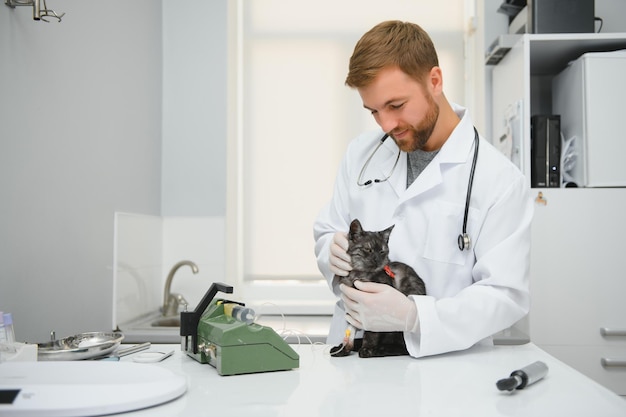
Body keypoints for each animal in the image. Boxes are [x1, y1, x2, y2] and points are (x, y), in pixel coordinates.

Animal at [326, 218, 424, 358]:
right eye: (368, 249)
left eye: (382, 251)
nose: (377, 259)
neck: (359, 275)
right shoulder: (353, 307)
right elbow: (350, 328)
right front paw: (345, 348)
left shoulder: (373, 310)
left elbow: (371, 332)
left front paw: (368, 348)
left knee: (402, 347)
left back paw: (380, 349)